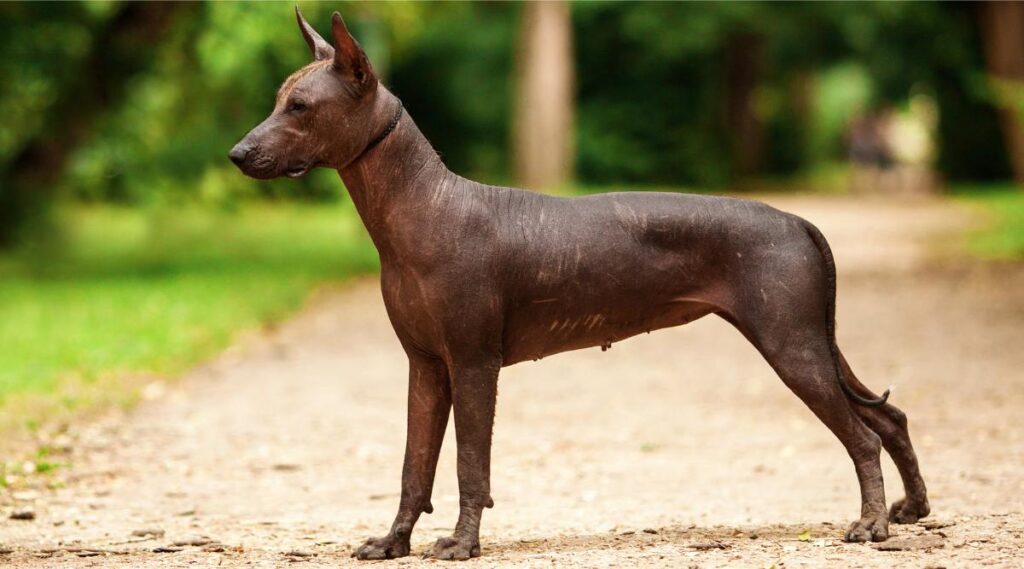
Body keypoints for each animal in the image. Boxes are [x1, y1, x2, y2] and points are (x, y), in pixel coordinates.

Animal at [230, 8, 929, 560]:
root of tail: (800, 221)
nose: (237, 154)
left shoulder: (474, 364)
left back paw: (871, 525)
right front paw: (394, 541)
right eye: (277, 99)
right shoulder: (426, 367)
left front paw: (463, 543)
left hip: (792, 346)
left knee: (865, 435)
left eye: (299, 107)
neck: (424, 206)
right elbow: (413, 465)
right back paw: (912, 510)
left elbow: (469, 463)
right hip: (812, 342)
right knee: (889, 417)